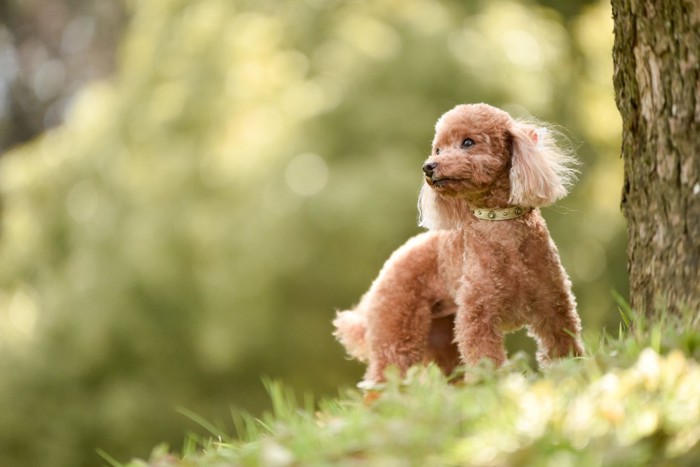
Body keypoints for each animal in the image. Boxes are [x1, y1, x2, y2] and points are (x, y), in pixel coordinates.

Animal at [334, 104, 584, 386]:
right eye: (438, 149)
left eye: (468, 142)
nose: (428, 167)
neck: (498, 223)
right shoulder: (478, 319)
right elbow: (486, 360)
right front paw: (495, 389)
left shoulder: (553, 305)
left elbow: (564, 348)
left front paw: (575, 377)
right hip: (396, 332)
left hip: (442, 339)